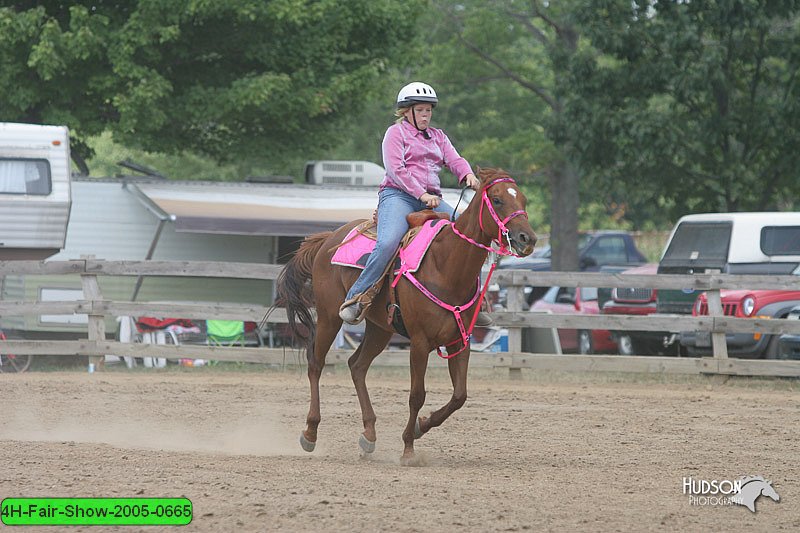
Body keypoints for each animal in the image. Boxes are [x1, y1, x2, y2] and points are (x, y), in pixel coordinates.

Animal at [276, 168, 536, 464]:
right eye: (497, 199)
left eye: (523, 199)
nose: (528, 239)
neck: (446, 266)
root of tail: (328, 239)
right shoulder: (420, 343)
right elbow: (416, 395)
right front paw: (409, 448)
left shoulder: (460, 342)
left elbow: (459, 395)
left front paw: (422, 426)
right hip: (330, 317)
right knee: (316, 364)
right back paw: (310, 433)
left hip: (380, 328)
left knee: (357, 366)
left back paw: (369, 435)